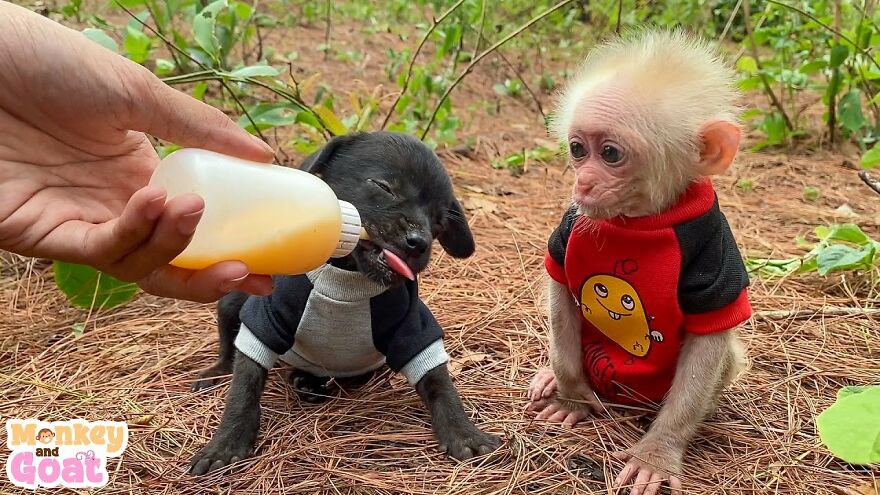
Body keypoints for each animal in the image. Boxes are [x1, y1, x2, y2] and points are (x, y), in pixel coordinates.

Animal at [526, 28, 752, 495]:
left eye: (610, 154)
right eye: (578, 148)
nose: (583, 182)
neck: (640, 221)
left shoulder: (717, 250)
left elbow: (709, 340)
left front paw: (658, 453)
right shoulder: (568, 227)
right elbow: (560, 294)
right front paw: (571, 396)